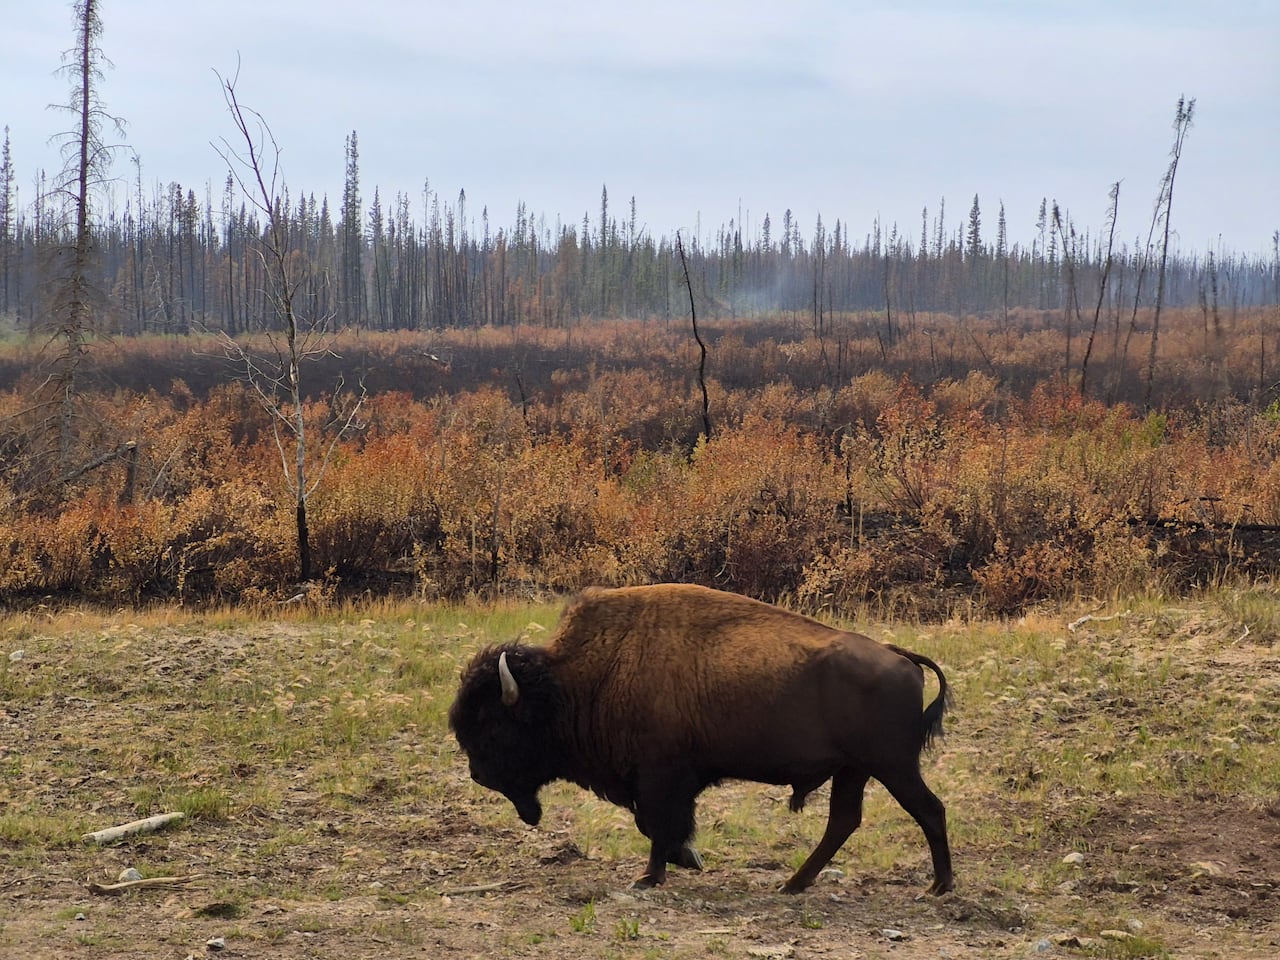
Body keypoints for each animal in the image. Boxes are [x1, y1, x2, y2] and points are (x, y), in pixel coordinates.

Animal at [448, 583, 953, 895]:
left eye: (493, 724)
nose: (477, 774)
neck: (573, 682)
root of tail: (899, 655)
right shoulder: (665, 781)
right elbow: (657, 825)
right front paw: (685, 860)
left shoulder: (660, 778)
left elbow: (657, 825)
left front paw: (651, 875)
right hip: (855, 770)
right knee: (844, 821)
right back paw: (793, 884)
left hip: (891, 766)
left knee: (928, 810)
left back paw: (937, 886)